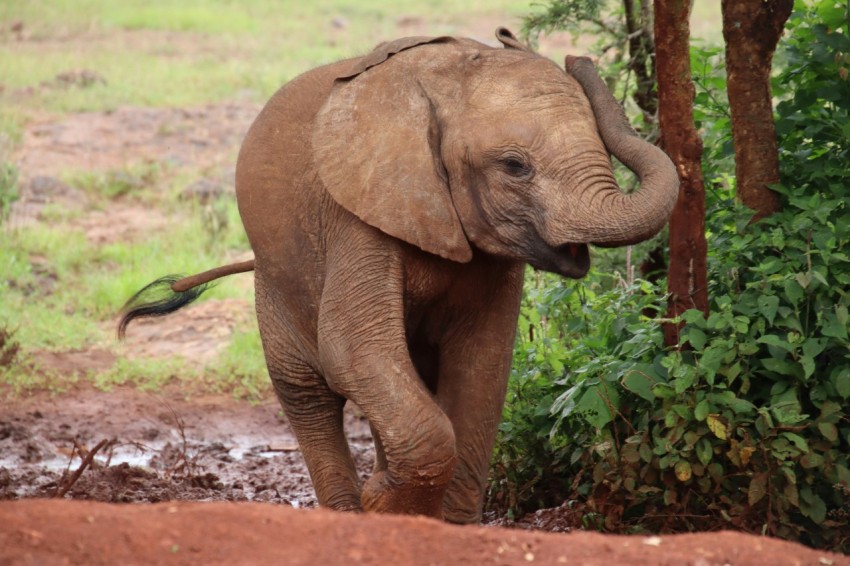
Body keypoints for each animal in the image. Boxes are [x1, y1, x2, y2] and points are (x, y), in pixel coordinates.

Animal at [118, 28, 678, 524]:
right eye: (515, 167)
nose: (575, 58)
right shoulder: (358, 212)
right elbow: (351, 347)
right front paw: (382, 506)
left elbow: (482, 360)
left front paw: (441, 526)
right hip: (276, 277)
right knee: (307, 391)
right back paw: (348, 515)